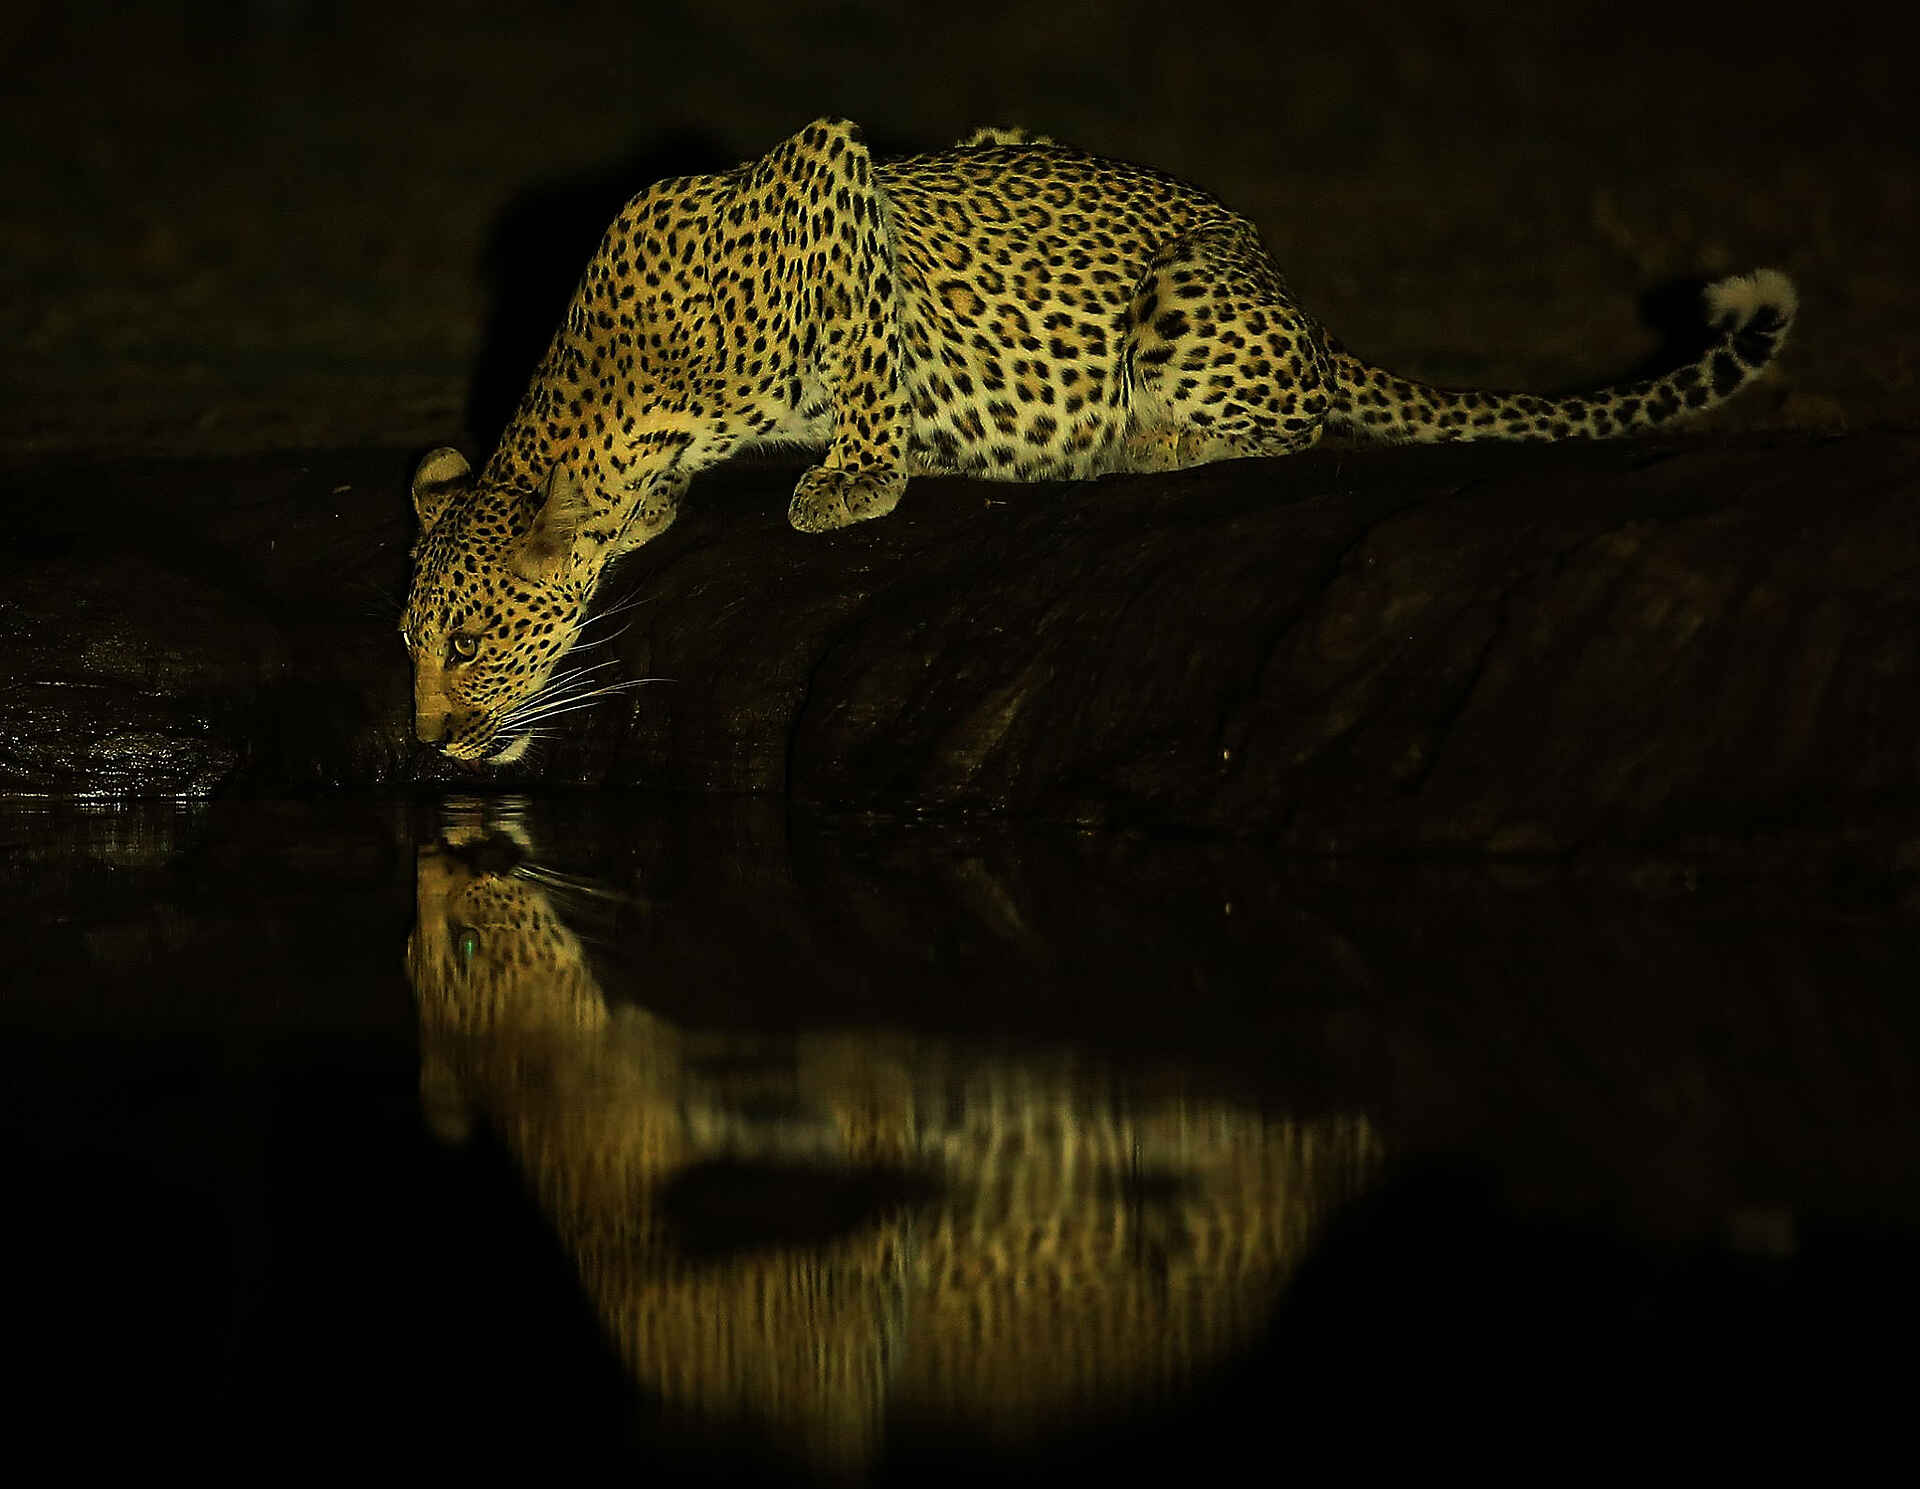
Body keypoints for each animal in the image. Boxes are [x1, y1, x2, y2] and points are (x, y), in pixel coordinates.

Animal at [402, 117, 1797, 763]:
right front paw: (653, 512)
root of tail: (1301, 302)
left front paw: (857, 477)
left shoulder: (835, 182)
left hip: (1190, 300)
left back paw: (1138, 443)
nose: (423, 744)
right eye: (412, 646)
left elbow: (873, 350)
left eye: (467, 644)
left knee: (1289, 425)